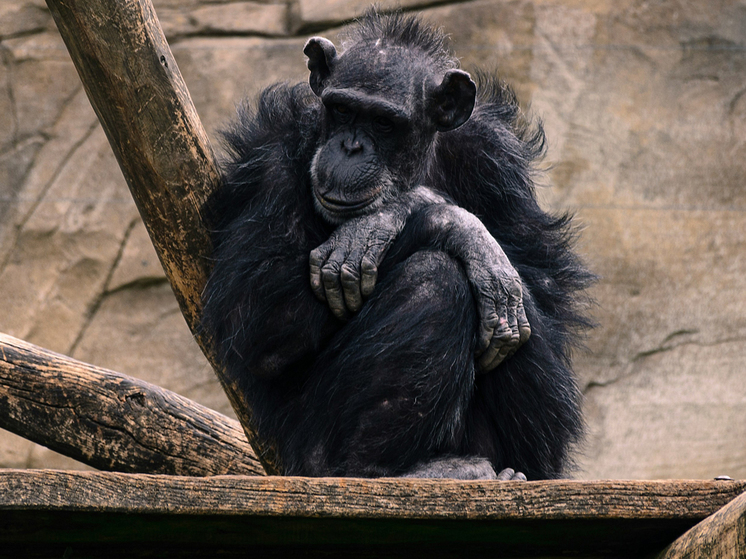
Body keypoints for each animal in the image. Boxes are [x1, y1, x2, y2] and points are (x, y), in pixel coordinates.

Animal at [199, 9, 592, 482]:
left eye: (384, 122)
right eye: (342, 110)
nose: (350, 147)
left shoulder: (496, 157)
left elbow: (546, 290)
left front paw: (383, 222)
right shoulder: (274, 152)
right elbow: (258, 317)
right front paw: (442, 221)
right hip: (308, 457)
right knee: (435, 278)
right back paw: (388, 470)